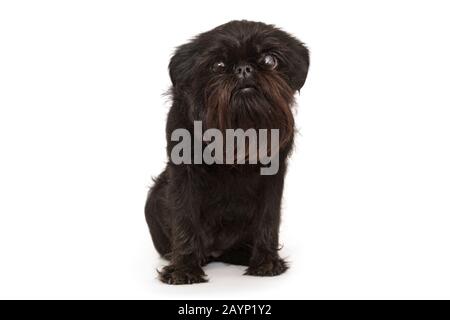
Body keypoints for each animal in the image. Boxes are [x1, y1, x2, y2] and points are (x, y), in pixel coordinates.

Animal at [146, 20, 308, 284]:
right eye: (218, 66)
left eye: (269, 60)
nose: (244, 69)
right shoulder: (182, 175)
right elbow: (183, 216)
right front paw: (184, 269)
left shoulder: (273, 178)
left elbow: (269, 219)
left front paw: (266, 262)